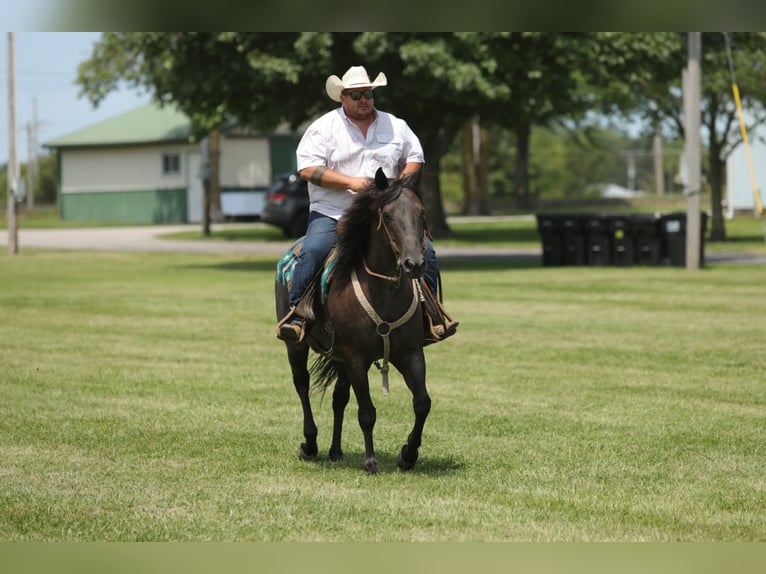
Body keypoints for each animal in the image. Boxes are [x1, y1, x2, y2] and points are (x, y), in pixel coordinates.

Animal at [276, 170, 432, 476]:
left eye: (421, 213)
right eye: (388, 215)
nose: (414, 264)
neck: (384, 290)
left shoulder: (409, 353)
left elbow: (422, 403)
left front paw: (408, 455)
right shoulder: (356, 357)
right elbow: (367, 412)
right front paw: (370, 462)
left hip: (339, 358)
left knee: (339, 398)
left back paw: (335, 451)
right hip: (296, 347)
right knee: (302, 385)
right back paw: (309, 445)